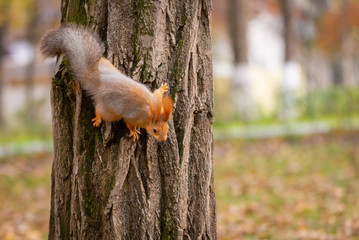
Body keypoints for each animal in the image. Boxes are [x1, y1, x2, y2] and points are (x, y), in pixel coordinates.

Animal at [40, 24, 174, 142]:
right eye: (155, 130)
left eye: (167, 128)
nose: (163, 140)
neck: (152, 111)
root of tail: (99, 82)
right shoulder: (134, 117)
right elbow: (129, 123)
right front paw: (134, 132)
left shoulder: (156, 99)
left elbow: (157, 93)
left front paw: (163, 88)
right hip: (110, 111)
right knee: (100, 111)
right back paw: (98, 118)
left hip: (107, 66)